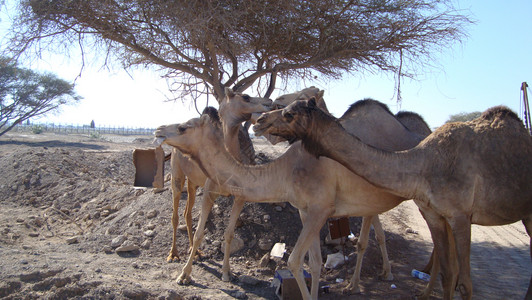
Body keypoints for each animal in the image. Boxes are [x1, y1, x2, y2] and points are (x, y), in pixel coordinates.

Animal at [154, 101, 432, 300]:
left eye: (183, 127)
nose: (158, 130)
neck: (287, 170)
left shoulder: (322, 208)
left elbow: (295, 261)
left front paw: (185, 275)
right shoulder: (306, 211)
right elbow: (316, 263)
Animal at [255, 98, 532, 300]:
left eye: (289, 113)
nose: (259, 120)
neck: (424, 161)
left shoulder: (460, 215)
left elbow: (464, 282)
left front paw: (357, 284)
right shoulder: (434, 211)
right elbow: (447, 270)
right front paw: (377, 276)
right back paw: (424, 290)